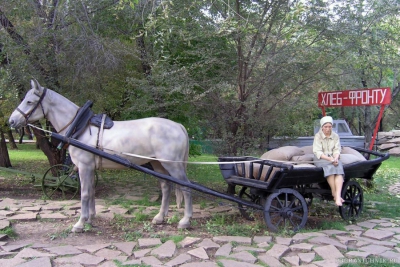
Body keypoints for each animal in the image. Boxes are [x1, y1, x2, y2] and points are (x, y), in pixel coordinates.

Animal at [7, 79, 192, 232]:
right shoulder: (89, 168)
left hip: (173, 165)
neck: (80, 127)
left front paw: (80, 224)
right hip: (158, 164)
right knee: (166, 187)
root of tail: (178, 126)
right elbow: (91, 191)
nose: (11, 121)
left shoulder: (84, 167)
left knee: (186, 187)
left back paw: (185, 220)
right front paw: (90, 218)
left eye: (29, 101)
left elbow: (84, 194)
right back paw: (160, 217)